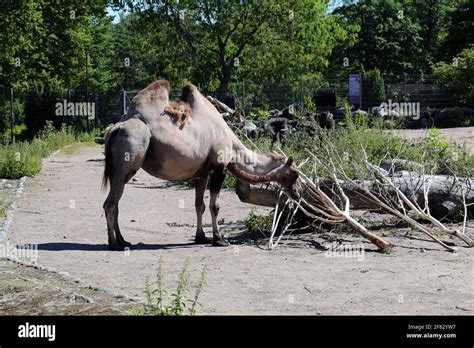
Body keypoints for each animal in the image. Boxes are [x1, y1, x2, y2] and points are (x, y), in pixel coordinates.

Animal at [103, 80, 300, 250]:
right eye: (295, 174)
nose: (297, 195)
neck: (232, 145)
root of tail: (116, 128)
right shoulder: (219, 169)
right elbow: (215, 206)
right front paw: (219, 239)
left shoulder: (201, 174)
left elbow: (200, 205)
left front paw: (201, 237)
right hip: (128, 156)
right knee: (110, 203)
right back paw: (114, 244)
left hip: (116, 169)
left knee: (116, 202)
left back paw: (122, 240)